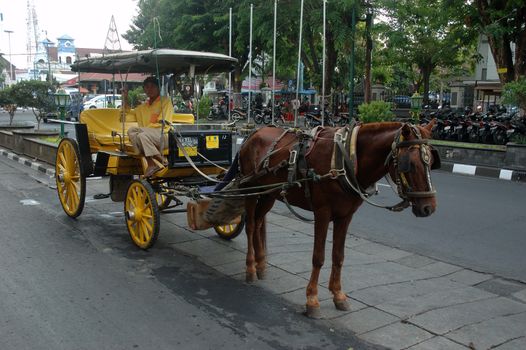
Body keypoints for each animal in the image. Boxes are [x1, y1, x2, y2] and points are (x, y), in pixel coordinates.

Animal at [238, 121, 442, 318]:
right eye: (410, 164)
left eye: (432, 162)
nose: (429, 208)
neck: (347, 159)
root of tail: (254, 133)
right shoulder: (322, 212)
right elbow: (318, 257)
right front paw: (312, 300)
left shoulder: (345, 216)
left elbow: (338, 256)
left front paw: (338, 295)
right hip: (249, 189)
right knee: (250, 226)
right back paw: (250, 268)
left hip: (268, 193)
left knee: (258, 222)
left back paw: (261, 265)